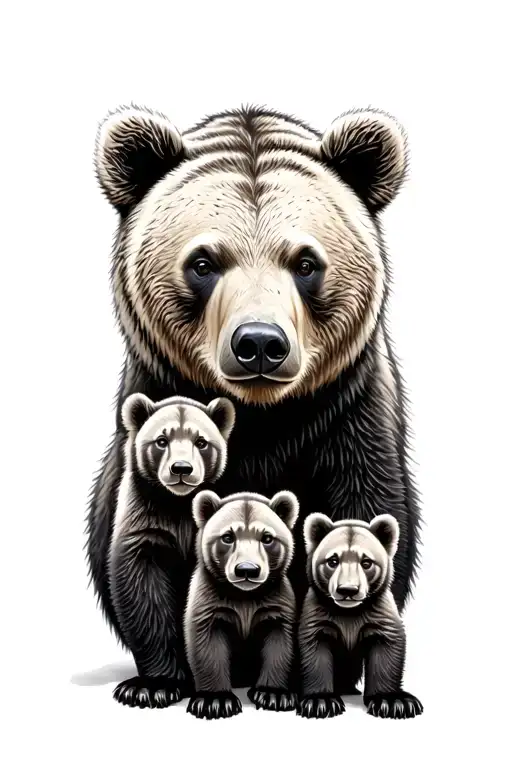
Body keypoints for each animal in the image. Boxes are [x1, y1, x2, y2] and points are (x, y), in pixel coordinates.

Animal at [109, 393, 236, 707]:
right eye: (161, 440)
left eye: (201, 442)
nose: (181, 469)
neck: (179, 503)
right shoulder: (147, 520)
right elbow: (143, 590)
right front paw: (153, 686)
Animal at [184, 489, 299, 719]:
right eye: (228, 537)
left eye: (267, 537)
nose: (247, 569)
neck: (244, 596)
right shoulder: (211, 602)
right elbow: (208, 645)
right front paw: (215, 700)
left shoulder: (275, 603)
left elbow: (280, 643)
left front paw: (273, 694)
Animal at [297, 513, 423, 719]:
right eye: (332, 560)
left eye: (367, 562)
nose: (348, 590)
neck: (349, 612)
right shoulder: (319, 614)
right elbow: (315, 651)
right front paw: (320, 701)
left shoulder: (378, 613)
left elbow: (386, 649)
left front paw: (392, 701)